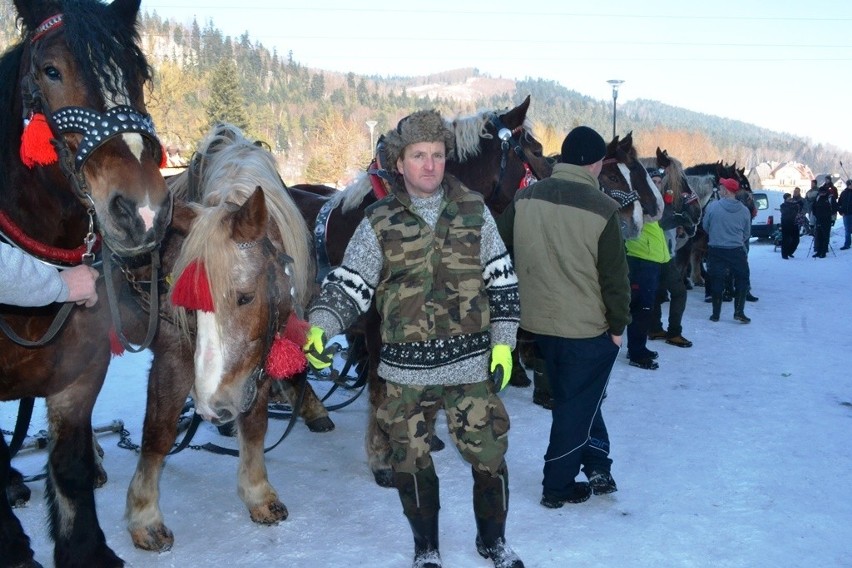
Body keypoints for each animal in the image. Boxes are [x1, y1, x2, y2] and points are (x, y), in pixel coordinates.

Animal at [0, 2, 173, 564]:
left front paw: (84, 549)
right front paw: (11, 543)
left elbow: (71, 464)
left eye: (138, 74)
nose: (143, 211)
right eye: (51, 70)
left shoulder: (79, 372)